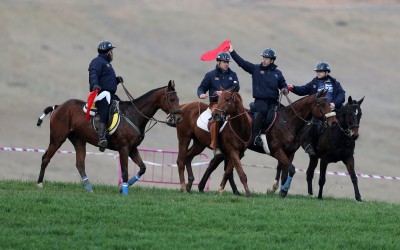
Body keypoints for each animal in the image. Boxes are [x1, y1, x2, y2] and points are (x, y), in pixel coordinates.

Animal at [36, 79, 183, 194]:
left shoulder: (132, 149)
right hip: (57, 139)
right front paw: (124, 191)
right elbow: (124, 171)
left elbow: (142, 168)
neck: (134, 114)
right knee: (45, 158)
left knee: (80, 164)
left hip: (79, 141)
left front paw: (124, 186)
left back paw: (89, 188)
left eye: (178, 99)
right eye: (171, 99)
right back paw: (39, 183)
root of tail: (59, 106)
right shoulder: (124, 148)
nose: (179, 119)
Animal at [200, 89, 338, 197]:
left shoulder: (290, 153)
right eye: (321, 104)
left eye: (329, 104)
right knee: (215, 164)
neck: (288, 122)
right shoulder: (277, 151)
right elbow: (291, 169)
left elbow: (285, 171)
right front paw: (282, 189)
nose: (334, 122)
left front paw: (281, 191)